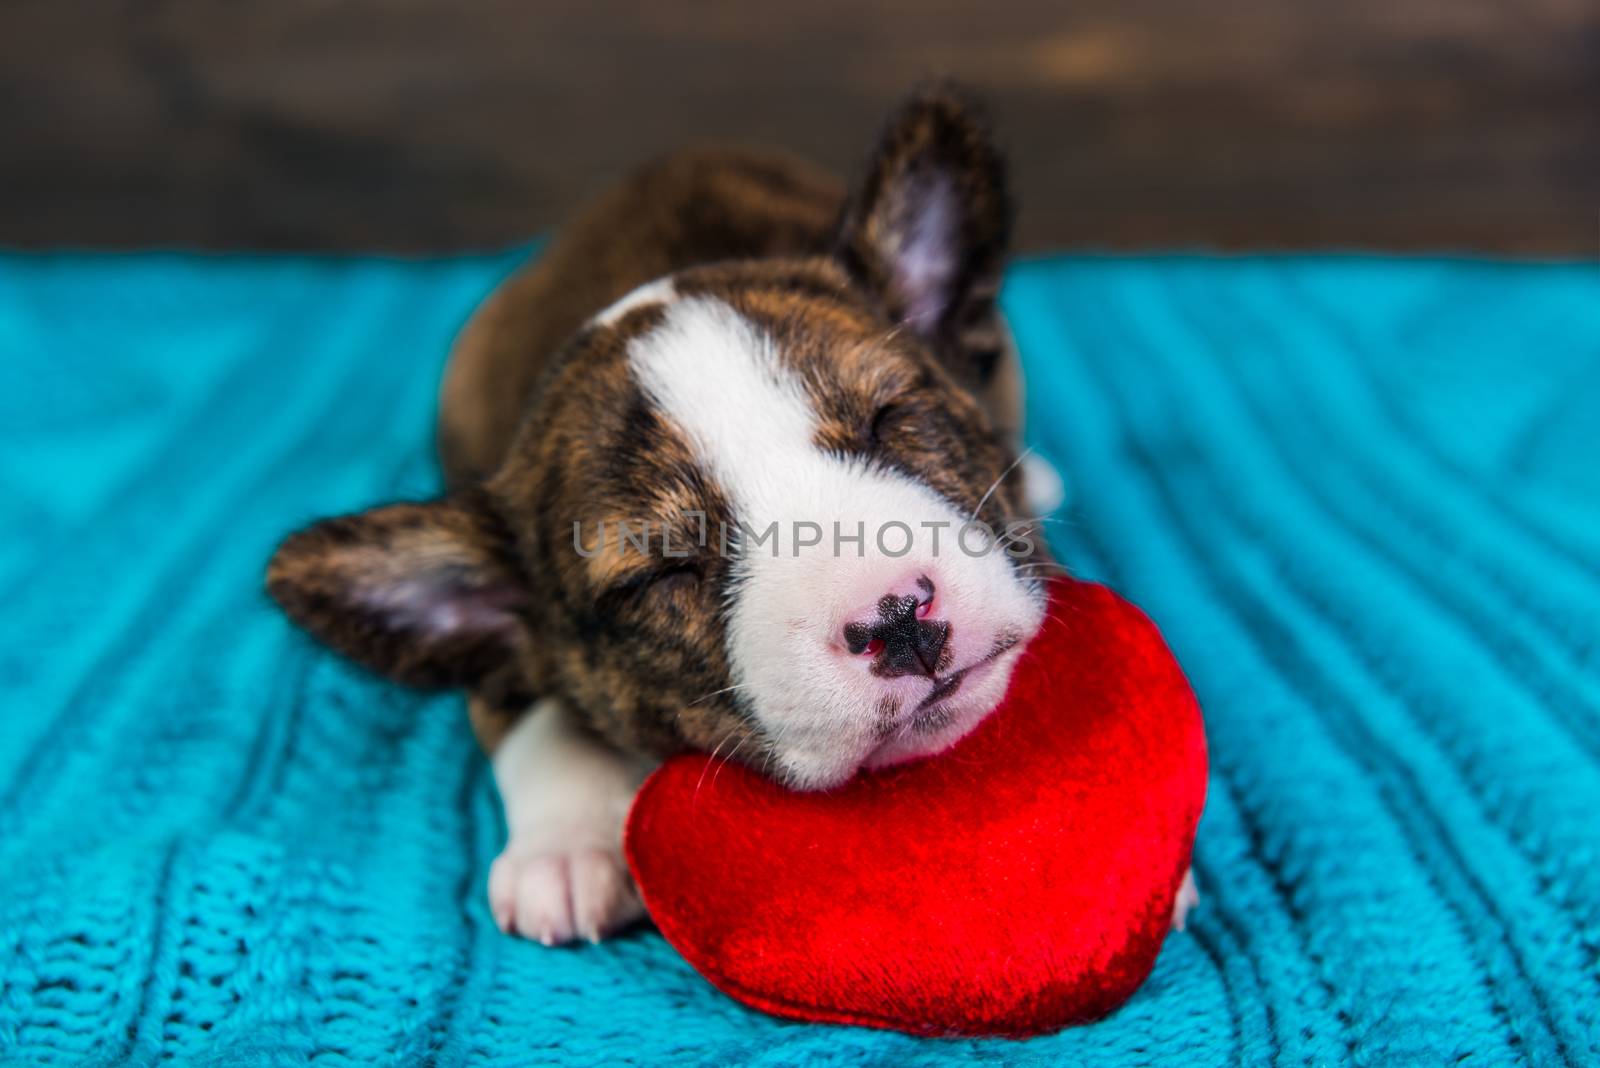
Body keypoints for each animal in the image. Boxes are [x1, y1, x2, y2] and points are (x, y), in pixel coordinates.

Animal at [268, 89, 1075, 940]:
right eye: (664, 574)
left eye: (890, 420)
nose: (896, 619)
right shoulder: (498, 669)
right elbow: (536, 717)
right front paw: (566, 846)